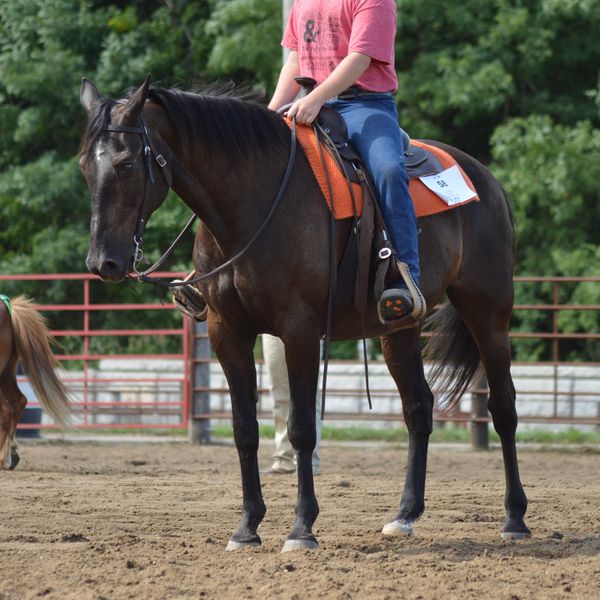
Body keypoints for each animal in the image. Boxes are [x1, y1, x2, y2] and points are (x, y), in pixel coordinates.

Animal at [78, 76, 528, 552]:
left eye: (126, 165)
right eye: (85, 166)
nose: (102, 263)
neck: (252, 204)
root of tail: (485, 179)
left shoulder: (300, 330)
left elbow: (301, 429)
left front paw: (301, 528)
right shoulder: (227, 332)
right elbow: (244, 428)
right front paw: (247, 527)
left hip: (488, 312)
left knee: (503, 407)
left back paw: (514, 517)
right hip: (398, 328)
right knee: (419, 409)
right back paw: (405, 514)